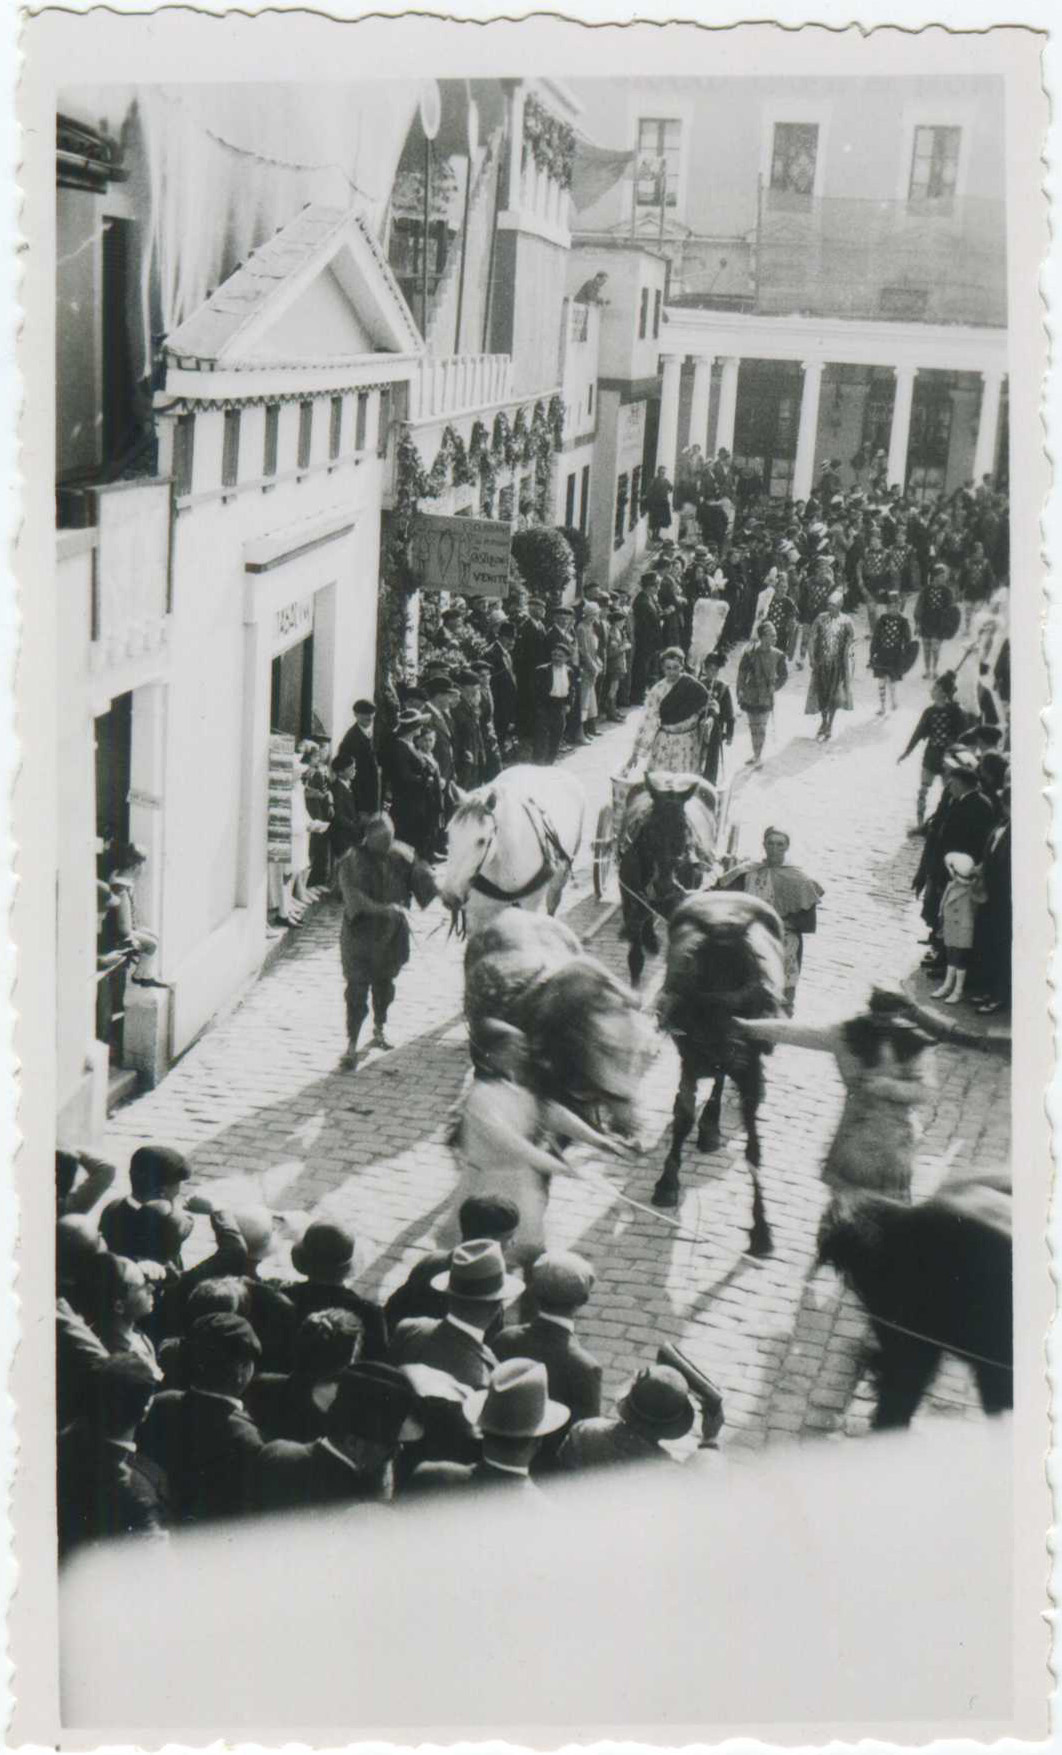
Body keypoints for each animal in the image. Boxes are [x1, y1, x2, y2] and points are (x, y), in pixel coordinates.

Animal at [438, 765, 589, 940]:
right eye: (449, 834)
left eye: (481, 840)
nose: (450, 897)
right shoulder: (477, 914)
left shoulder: (529, 905)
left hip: (559, 879)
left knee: (552, 903)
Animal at [645, 898, 786, 1256]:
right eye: (702, 1011)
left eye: (747, 1011)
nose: (728, 1052)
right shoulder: (690, 1059)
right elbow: (681, 1116)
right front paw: (667, 1183)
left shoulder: (751, 1073)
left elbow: (754, 1150)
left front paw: (761, 1230)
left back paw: (710, 1125)